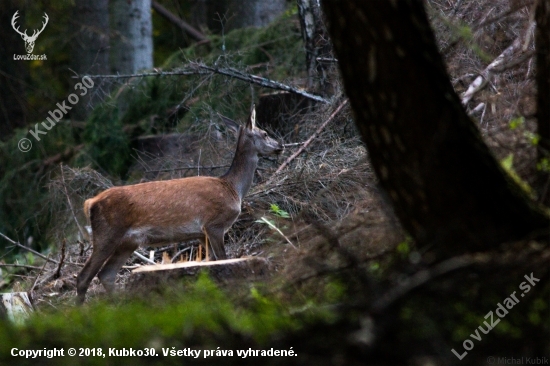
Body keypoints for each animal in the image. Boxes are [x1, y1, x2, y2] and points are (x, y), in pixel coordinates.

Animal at [75, 105, 282, 304]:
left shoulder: (201, 234)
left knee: (106, 274)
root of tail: (90, 203)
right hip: (107, 234)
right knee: (84, 276)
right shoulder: (214, 224)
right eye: (264, 133)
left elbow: (211, 265)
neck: (233, 188)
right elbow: (223, 260)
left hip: (128, 242)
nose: (281, 146)